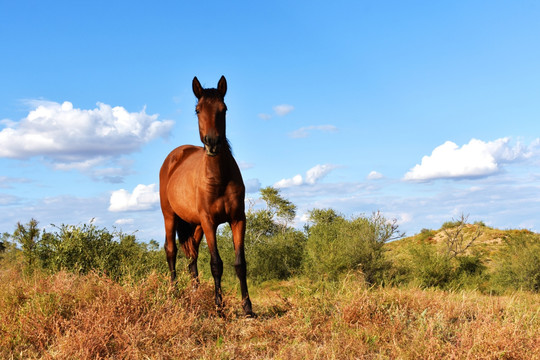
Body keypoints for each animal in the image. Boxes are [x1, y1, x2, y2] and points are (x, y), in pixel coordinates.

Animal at [158, 76, 255, 318]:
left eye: (224, 109)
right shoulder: (210, 222)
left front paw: (248, 308)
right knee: (171, 251)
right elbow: (216, 264)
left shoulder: (238, 220)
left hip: (195, 225)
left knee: (191, 255)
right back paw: (173, 295)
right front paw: (219, 307)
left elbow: (240, 264)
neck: (219, 178)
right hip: (170, 216)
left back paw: (194, 293)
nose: (212, 143)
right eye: (197, 109)